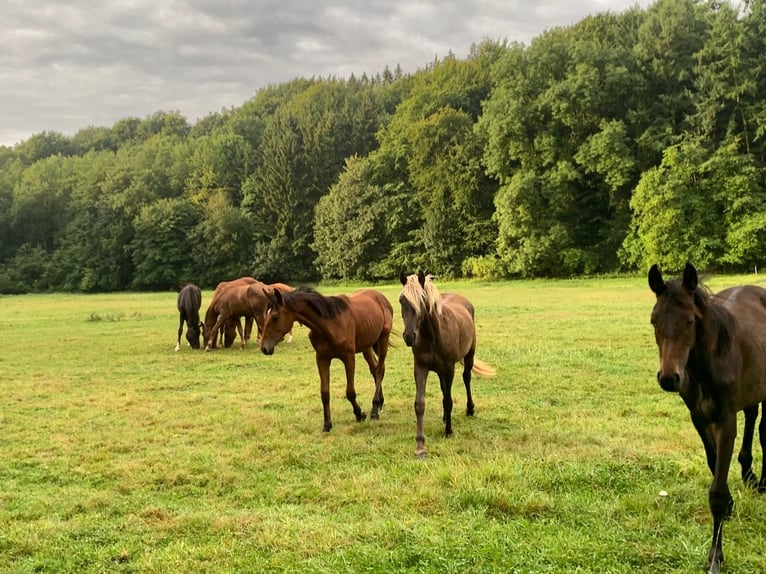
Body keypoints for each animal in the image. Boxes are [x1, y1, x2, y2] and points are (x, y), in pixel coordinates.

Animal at [259, 287, 393, 432]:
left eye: (275, 317)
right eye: (265, 316)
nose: (264, 348)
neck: (330, 324)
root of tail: (381, 297)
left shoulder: (349, 358)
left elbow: (350, 392)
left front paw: (359, 414)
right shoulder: (322, 358)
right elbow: (325, 393)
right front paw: (327, 424)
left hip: (383, 339)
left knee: (379, 370)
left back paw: (374, 409)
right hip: (366, 346)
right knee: (374, 369)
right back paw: (379, 403)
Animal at [398, 271, 496, 458]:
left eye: (422, 300)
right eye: (401, 300)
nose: (408, 337)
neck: (433, 336)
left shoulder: (449, 368)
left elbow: (448, 400)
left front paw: (449, 431)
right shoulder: (420, 368)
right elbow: (420, 404)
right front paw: (420, 446)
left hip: (468, 356)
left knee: (466, 378)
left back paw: (469, 410)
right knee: (444, 389)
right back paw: (445, 417)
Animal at [648, 262, 766, 574]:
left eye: (690, 321)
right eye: (654, 321)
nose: (669, 378)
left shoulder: (726, 419)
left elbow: (716, 492)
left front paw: (715, 556)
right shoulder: (699, 418)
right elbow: (715, 468)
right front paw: (730, 506)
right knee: (752, 415)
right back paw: (749, 474)